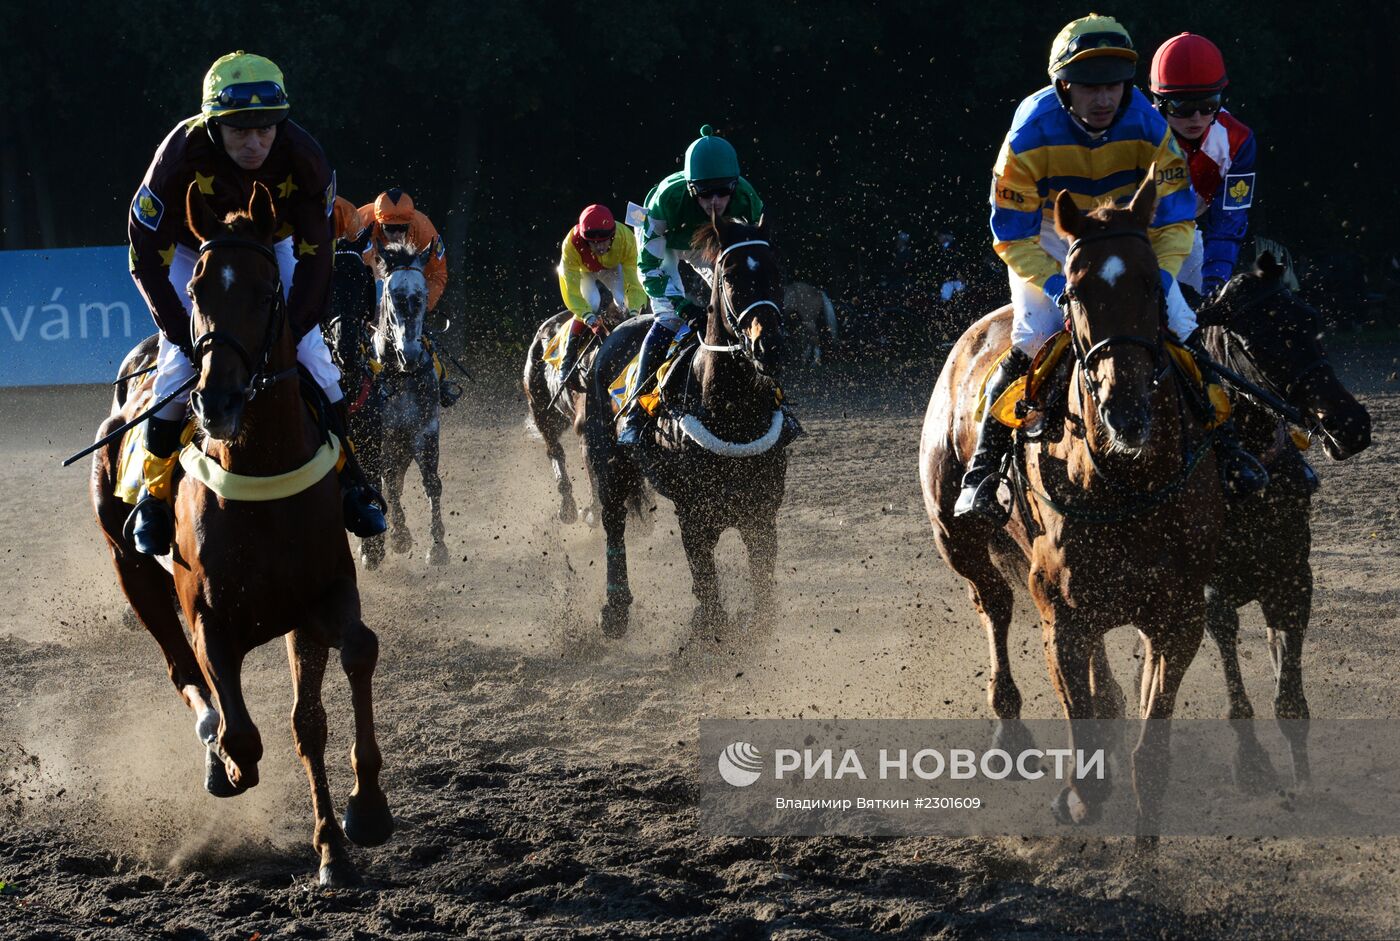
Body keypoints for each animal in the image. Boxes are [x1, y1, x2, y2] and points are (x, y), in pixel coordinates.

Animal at [88, 182, 394, 884]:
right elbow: (241, 730)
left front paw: (357, 820)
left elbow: (338, 681)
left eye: (264, 291)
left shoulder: (318, 600)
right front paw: (229, 763)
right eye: (198, 288)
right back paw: (214, 756)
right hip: (131, 569)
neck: (260, 464)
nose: (217, 400)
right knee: (183, 672)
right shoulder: (209, 617)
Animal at [361, 239, 448, 568]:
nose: (409, 354)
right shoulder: (382, 436)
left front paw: (438, 546)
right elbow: (386, 481)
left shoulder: (424, 429)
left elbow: (431, 483)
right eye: (392, 295)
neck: (401, 376)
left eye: (420, 296)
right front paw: (398, 537)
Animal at [585, 215, 795, 638]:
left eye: (775, 271)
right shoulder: (694, 515)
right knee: (613, 522)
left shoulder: (762, 512)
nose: (770, 346)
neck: (732, 414)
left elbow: (761, 598)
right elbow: (709, 593)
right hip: (609, 464)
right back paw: (615, 609)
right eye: (729, 278)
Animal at [929, 174, 1226, 840]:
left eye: (1152, 284)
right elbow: (1085, 750)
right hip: (957, 538)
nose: (1126, 409)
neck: (1125, 484)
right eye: (1078, 290)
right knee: (994, 603)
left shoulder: (1178, 617)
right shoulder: (1060, 617)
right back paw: (1010, 731)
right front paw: (1078, 800)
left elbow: (1150, 753)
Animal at [1198, 254, 1372, 784]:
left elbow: (1291, 697)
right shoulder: (1213, 594)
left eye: (1312, 324)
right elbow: (1237, 692)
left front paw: (1303, 781)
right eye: (1258, 343)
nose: (1350, 424)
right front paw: (1251, 761)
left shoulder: (1292, 577)